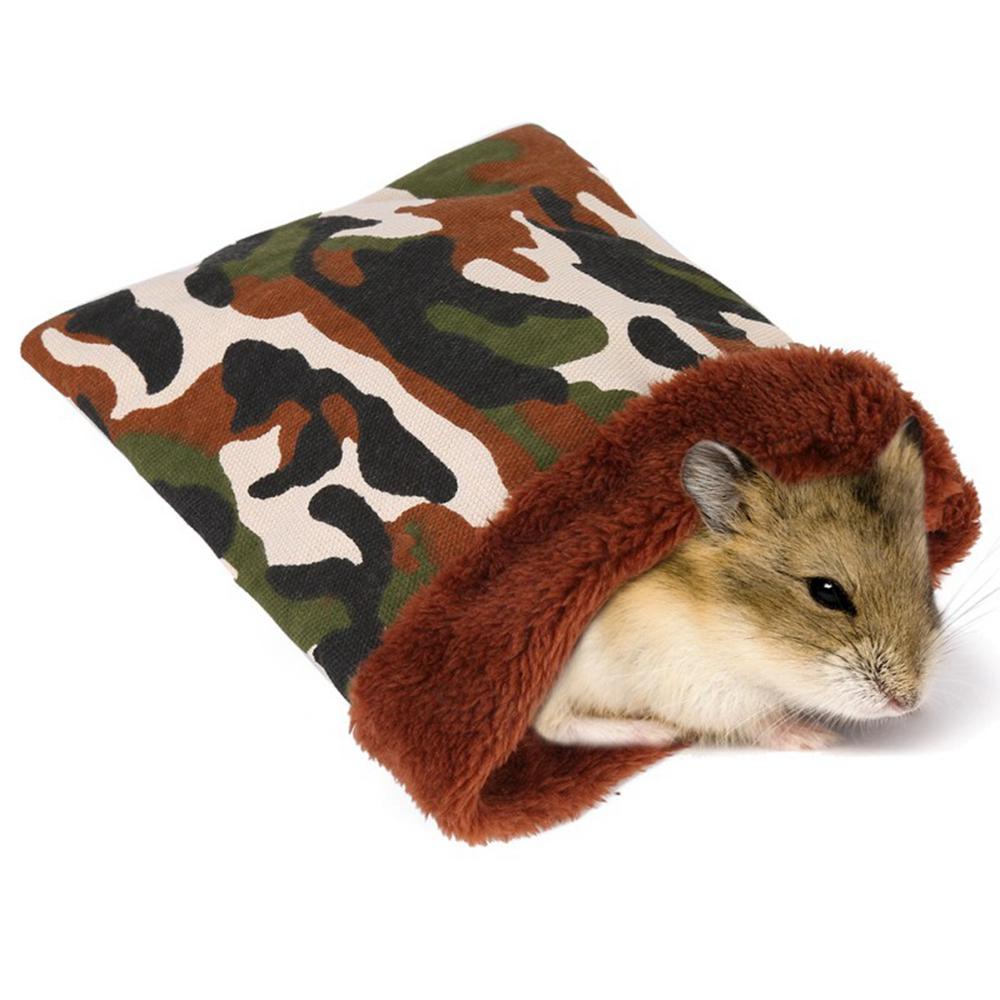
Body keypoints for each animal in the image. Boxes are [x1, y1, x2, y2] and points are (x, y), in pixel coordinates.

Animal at [531, 417, 940, 750]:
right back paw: (656, 733)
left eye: (926, 587)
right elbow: (759, 720)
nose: (909, 702)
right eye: (826, 592)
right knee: (552, 724)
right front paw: (818, 738)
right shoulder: (695, 686)